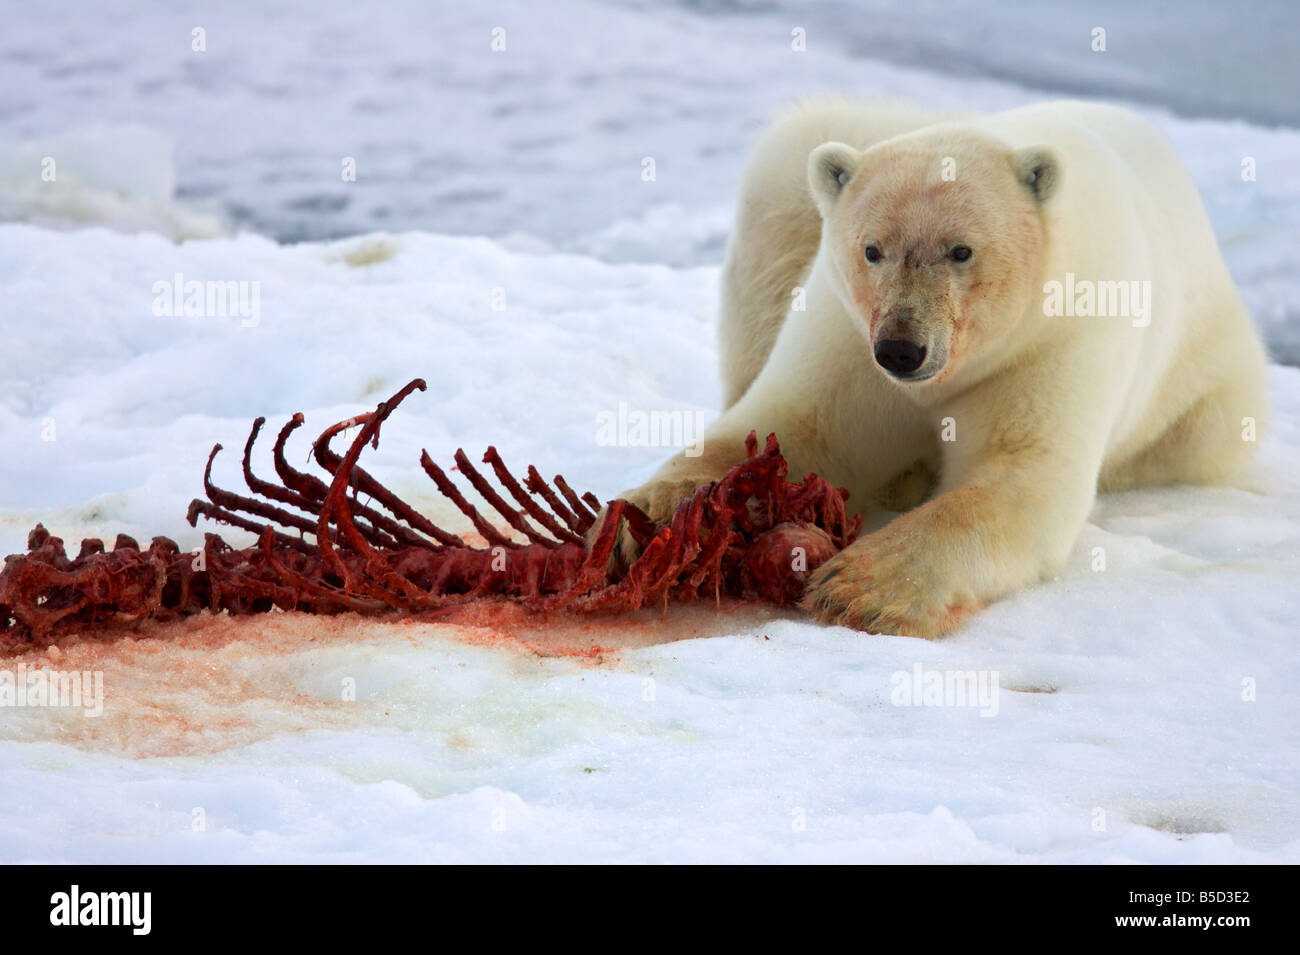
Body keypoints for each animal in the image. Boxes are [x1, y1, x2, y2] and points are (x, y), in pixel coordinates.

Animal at [603, 98, 1263, 634]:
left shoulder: (1057, 333)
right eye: (872, 249)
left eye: (961, 250)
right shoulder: (847, 331)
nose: (901, 348)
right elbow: (794, 424)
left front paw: (859, 588)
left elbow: (1021, 475)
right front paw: (643, 523)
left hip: (1206, 392)